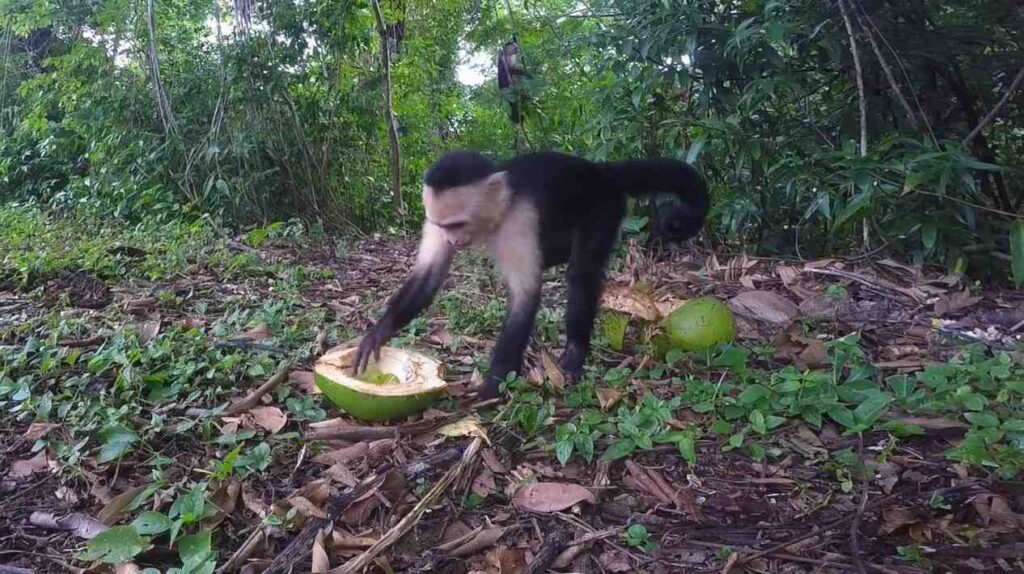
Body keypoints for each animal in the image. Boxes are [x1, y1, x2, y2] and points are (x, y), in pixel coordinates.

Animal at [351, 150, 709, 400]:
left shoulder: (519, 221)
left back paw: (575, 352)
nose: (453, 240)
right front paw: (377, 333)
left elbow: (525, 294)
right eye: (444, 226)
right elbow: (428, 279)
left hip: (604, 205)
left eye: (458, 224)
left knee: (582, 272)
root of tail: (598, 170)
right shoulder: (433, 220)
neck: (499, 209)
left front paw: (491, 386)